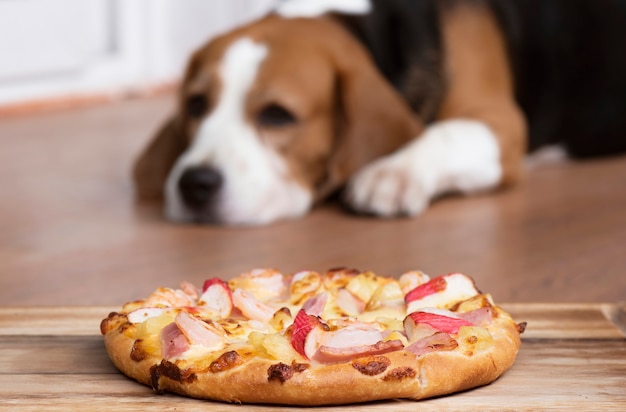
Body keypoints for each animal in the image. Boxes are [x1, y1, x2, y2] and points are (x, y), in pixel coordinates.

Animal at [134, 0, 624, 225]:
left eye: (277, 115)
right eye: (196, 104)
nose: (194, 184)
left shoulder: (500, 123)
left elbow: (443, 132)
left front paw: (392, 175)